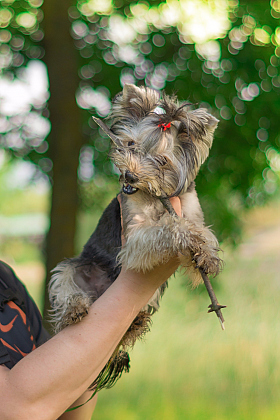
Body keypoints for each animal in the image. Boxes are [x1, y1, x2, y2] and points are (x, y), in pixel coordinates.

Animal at [49, 84, 222, 390]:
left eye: (162, 161)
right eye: (130, 145)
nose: (130, 175)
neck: (154, 197)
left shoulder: (191, 209)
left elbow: (203, 233)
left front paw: (208, 253)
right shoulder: (133, 241)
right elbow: (165, 229)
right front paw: (185, 234)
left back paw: (135, 323)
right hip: (73, 267)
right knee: (65, 285)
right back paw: (75, 309)